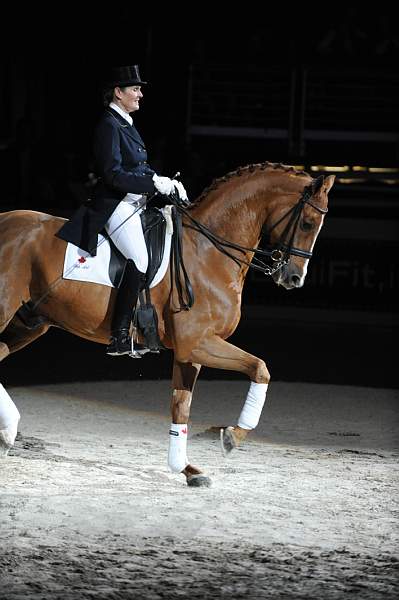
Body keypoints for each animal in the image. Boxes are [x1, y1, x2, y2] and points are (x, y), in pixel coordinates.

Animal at [0, 162, 334, 486]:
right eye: (307, 223)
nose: (294, 278)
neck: (207, 252)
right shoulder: (197, 343)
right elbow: (260, 368)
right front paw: (232, 437)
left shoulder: (191, 352)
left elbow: (181, 406)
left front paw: (187, 469)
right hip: (7, 310)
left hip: (30, 322)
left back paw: (8, 432)